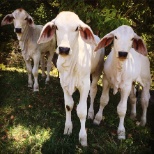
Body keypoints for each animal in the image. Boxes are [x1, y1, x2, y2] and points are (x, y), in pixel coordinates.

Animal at [37, 10, 104, 146]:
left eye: (77, 28)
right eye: (56, 27)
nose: (64, 49)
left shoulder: (84, 85)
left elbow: (81, 111)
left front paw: (83, 137)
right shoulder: (64, 83)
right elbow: (69, 105)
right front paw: (68, 128)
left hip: (96, 73)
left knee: (93, 92)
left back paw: (91, 113)